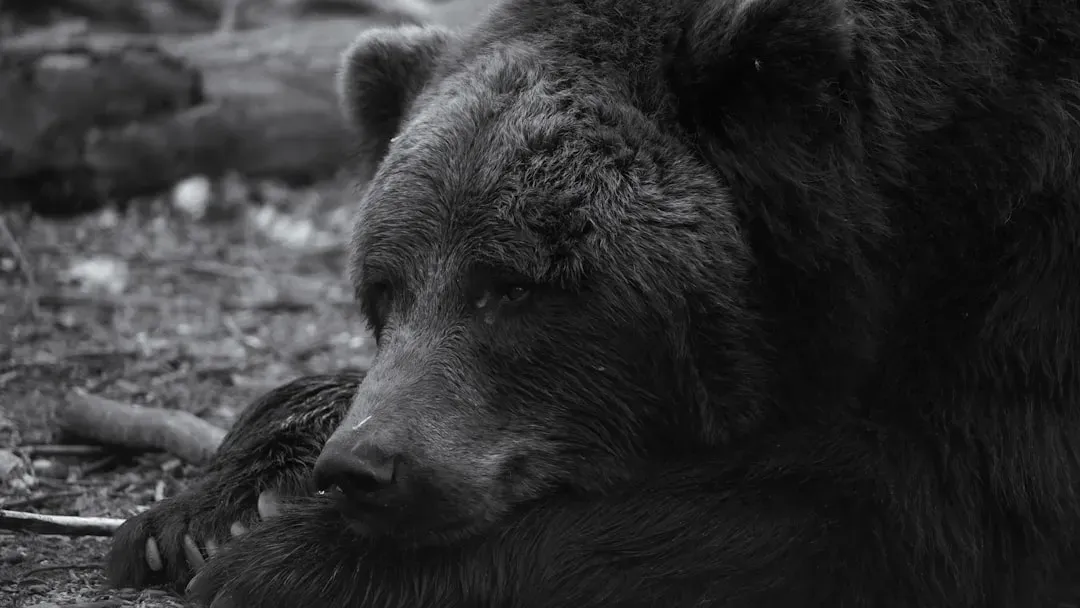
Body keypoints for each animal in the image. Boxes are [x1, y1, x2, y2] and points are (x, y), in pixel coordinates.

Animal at [104, 0, 1080, 606]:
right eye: (384, 288)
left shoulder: (1024, 283)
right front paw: (201, 512)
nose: (362, 468)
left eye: (511, 285)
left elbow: (905, 508)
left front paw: (282, 561)